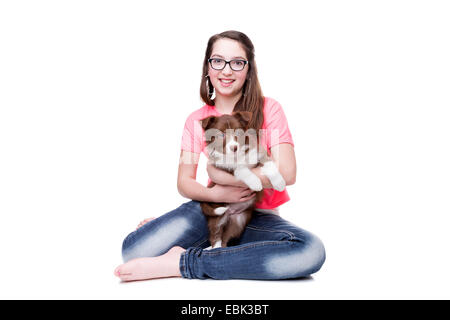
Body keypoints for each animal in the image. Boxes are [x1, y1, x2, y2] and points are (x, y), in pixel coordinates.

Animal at [200, 111, 284, 249]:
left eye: (238, 132)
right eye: (221, 135)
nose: (234, 147)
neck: (238, 156)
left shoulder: (258, 153)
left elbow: (270, 165)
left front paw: (280, 182)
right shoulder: (226, 169)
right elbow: (241, 170)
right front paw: (256, 183)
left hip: (238, 222)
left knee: (225, 239)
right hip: (217, 216)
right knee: (215, 235)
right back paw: (214, 248)